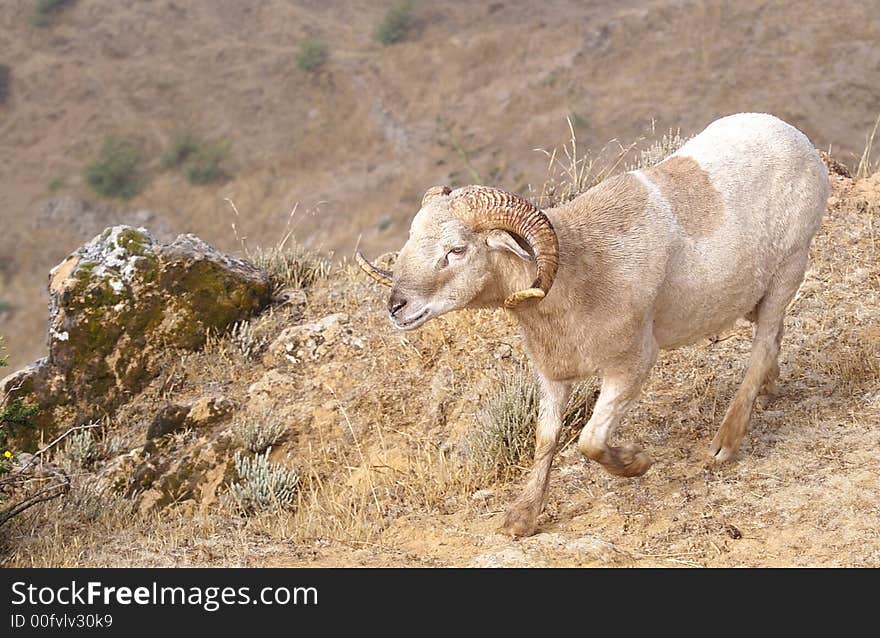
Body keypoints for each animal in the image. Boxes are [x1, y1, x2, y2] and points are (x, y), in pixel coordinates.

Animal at [356, 112, 824, 536]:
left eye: (456, 250)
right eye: (413, 237)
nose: (397, 306)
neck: (579, 274)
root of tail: (791, 134)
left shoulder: (630, 366)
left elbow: (589, 441)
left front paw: (637, 463)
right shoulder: (552, 374)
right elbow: (546, 438)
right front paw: (522, 519)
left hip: (789, 269)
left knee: (763, 345)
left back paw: (727, 441)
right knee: (772, 338)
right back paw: (768, 389)